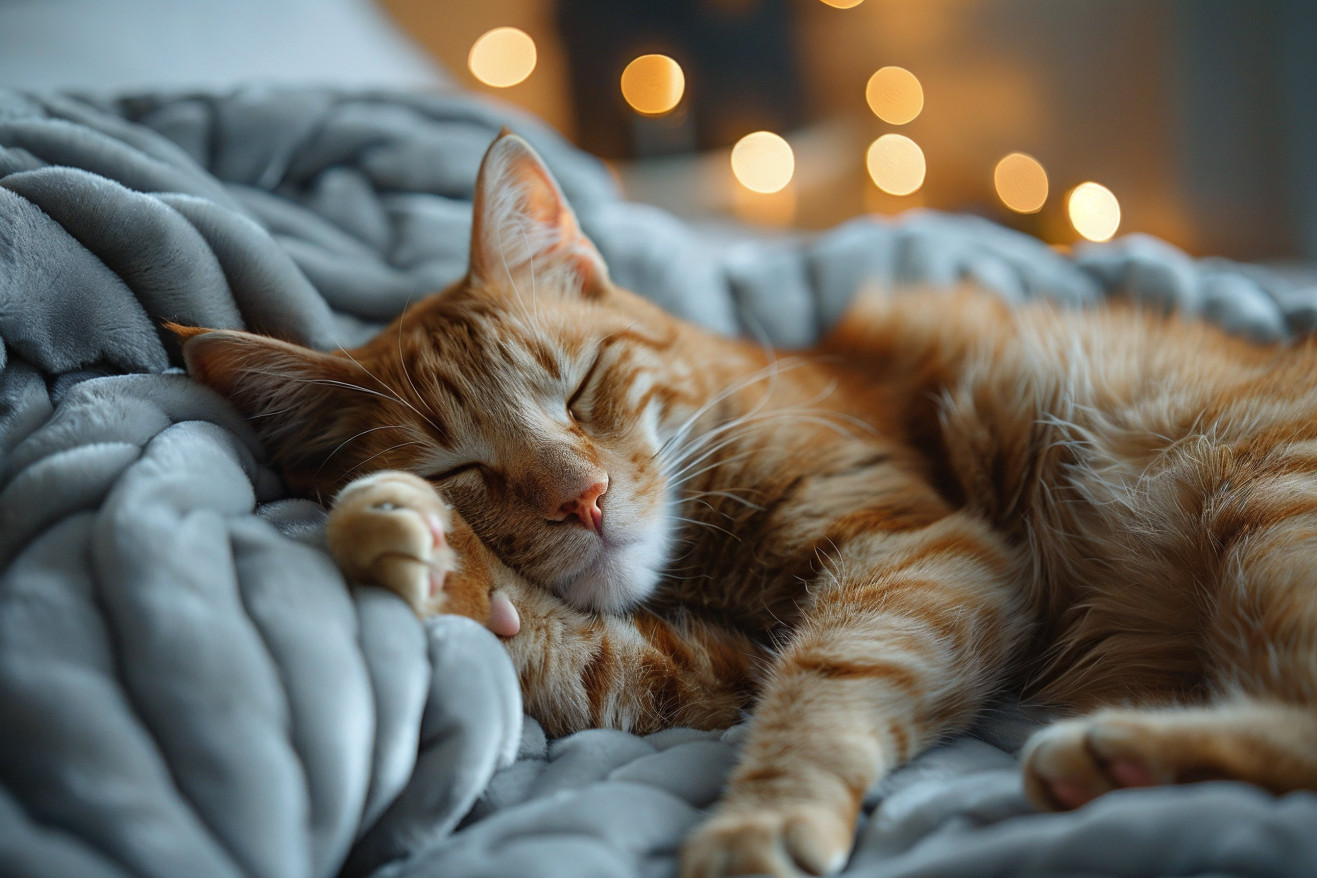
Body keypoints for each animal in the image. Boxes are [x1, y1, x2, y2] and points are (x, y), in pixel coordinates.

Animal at [169, 132, 1317, 878]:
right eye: (461, 466)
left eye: (578, 388)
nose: (584, 498)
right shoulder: (700, 670)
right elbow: (574, 653)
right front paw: (428, 550)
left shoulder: (923, 551)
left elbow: (825, 682)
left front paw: (759, 821)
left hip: (1253, 489)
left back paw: (1120, 754)